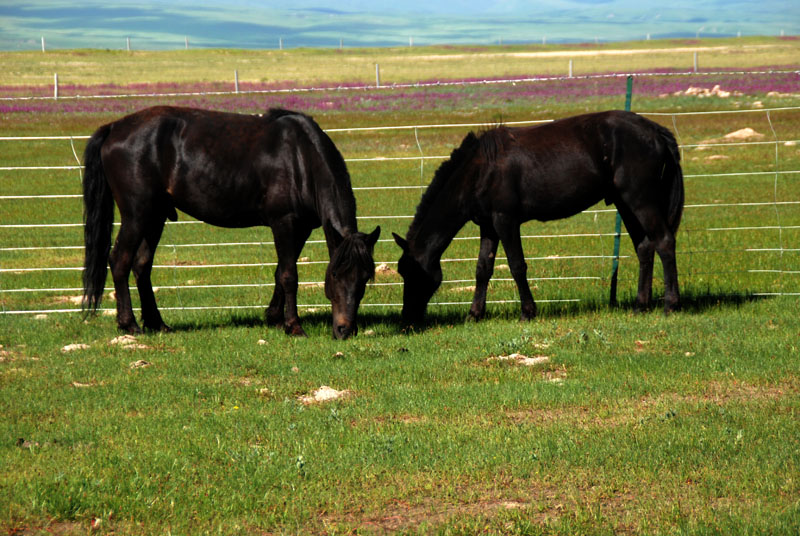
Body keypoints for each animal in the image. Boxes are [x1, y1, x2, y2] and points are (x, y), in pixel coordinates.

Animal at [83, 105, 380, 340]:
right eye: (335, 275)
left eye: (365, 278)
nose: (345, 330)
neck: (301, 158)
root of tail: (114, 127)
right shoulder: (284, 223)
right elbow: (289, 275)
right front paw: (293, 326)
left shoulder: (302, 229)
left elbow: (279, 272)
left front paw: (274, 318)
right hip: (137, 215)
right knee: (119, 261)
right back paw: (129, 324)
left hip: (155, 216)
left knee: (141, 265)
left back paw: (157, 324)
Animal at [392, 111, 680, 324]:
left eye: (411, 272)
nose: (407, 319)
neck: (480, 169)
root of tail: (655, 130)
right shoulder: (488, 226)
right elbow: (482, 269)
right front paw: (474, 314)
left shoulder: (505, 221)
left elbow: (517, 266)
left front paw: (528, 312)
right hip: (625, 202)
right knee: (645, 247)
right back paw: (641, 306)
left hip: (640, 200)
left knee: (664, 242)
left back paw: (670, 305)